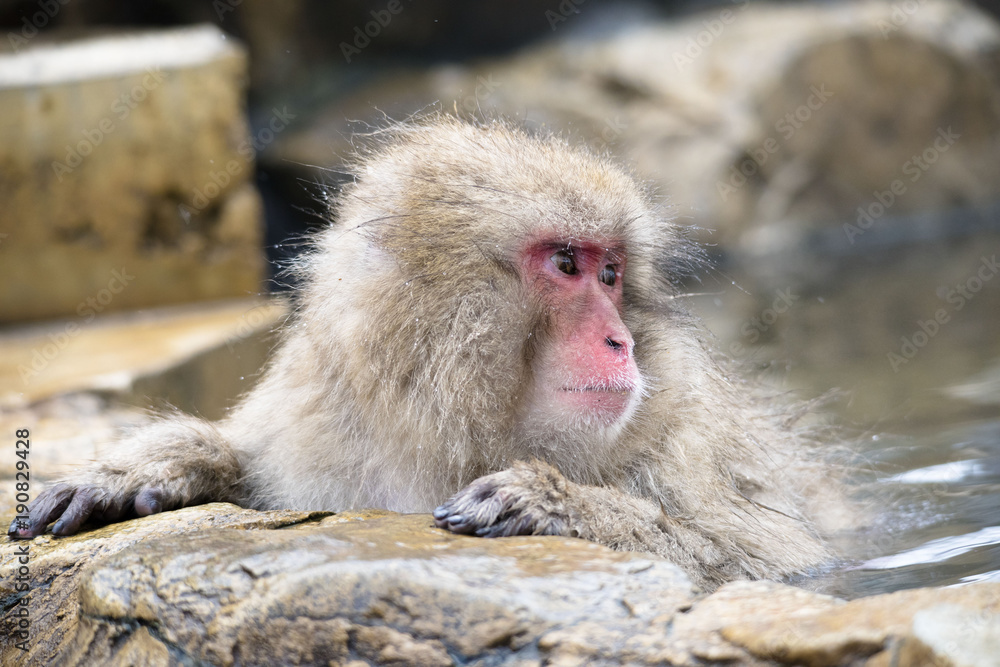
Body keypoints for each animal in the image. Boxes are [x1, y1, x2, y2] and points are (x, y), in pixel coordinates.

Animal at [9, 117, 836, 592]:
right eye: (567, 264)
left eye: (611, 274)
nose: (620, 340)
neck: (448, 423)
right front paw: (153, 464)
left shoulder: (682, 428)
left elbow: (768, 554)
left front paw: (558, 503)